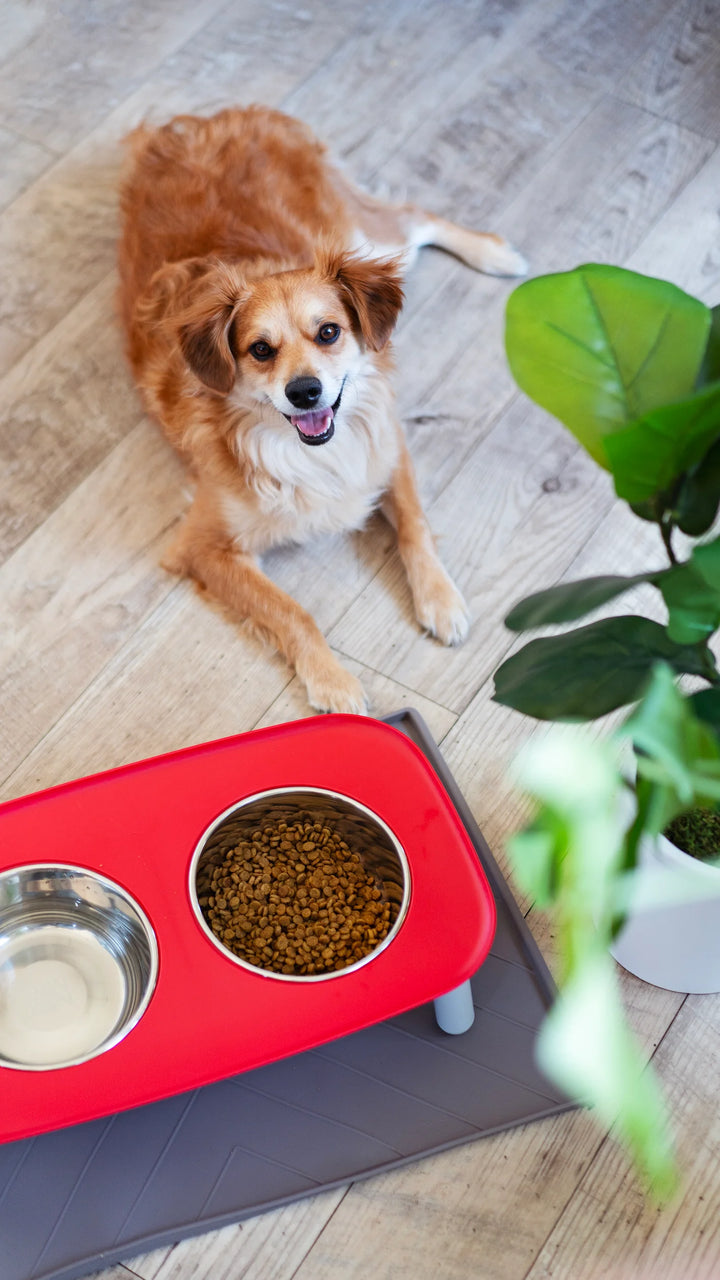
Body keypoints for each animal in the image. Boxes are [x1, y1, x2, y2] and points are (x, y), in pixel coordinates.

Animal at [116, 104, 520, 716]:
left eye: (328, 332)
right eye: (260, 349)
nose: (305, 392)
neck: (309, 453)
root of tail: (196, 122)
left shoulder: (385, 443)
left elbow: (415, 525)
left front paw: (440, 598)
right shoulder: (203, 548)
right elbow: (291, 611)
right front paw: (333, 681)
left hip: (361, 236)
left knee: (413, 218)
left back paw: (496, 254)